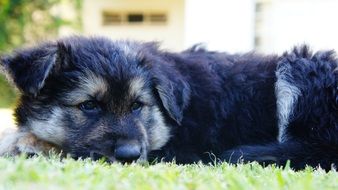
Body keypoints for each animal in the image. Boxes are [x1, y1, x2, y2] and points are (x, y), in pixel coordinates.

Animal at [0, 36, 336, 170]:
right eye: (89, 106)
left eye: (138, 105)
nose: (129, 155)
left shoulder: (176, 150)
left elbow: (65, 149)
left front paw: (25, 143)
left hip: (300, 66)